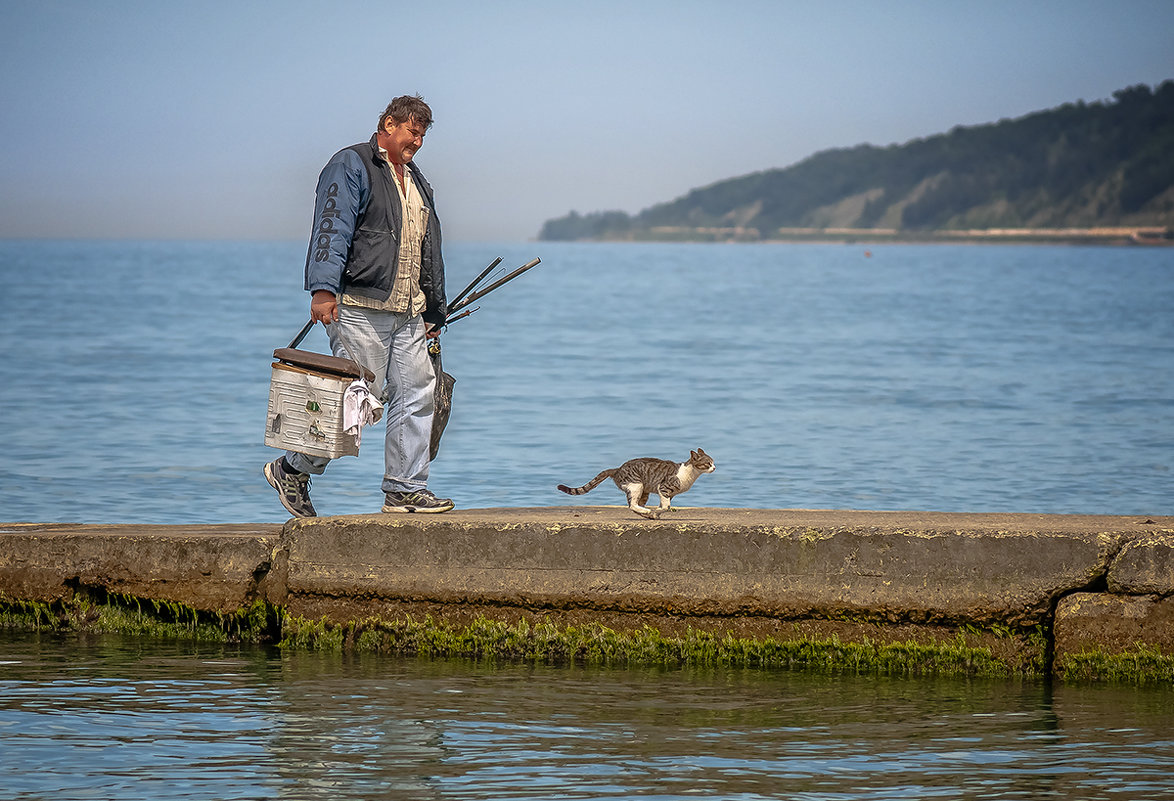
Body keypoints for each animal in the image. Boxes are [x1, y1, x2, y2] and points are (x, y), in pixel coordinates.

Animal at [556, 443, 713, 516]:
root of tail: (618, 469)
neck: (690, 474)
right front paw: (659, 510)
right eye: (708, 464)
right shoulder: (663, 487)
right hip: (636, 485)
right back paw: (646, 511)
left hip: (643, 491)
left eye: (713, 462)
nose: (714, 468)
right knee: (631, 505)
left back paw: (645, 512)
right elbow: (665, 505)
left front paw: (657, 512)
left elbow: (664, 504)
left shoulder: (670, 493)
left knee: (635, 505)